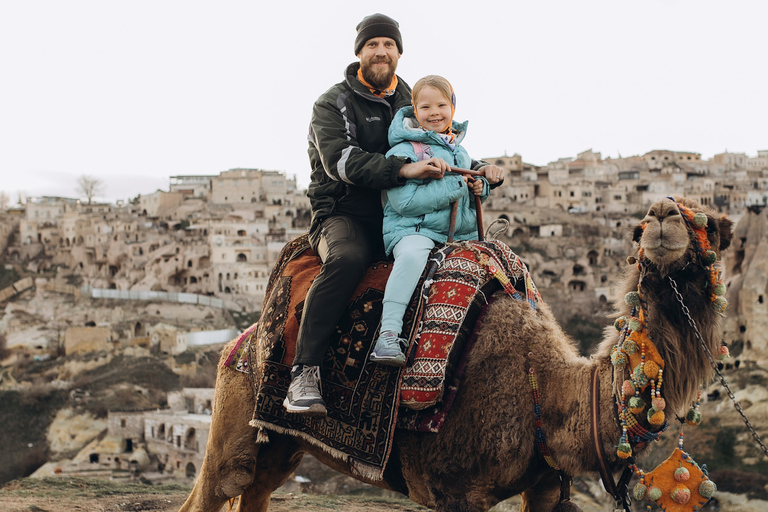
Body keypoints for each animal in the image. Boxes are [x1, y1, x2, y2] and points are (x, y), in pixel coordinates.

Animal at [178, 198, 732, 512]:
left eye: (716, 228)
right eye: (639, 230)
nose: (662, 218)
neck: (544, 386)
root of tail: (241, 340)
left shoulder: (545, 486)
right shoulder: (456, 491)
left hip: (280, 443)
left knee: (256, 489)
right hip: (235, 410)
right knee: (218, 486)